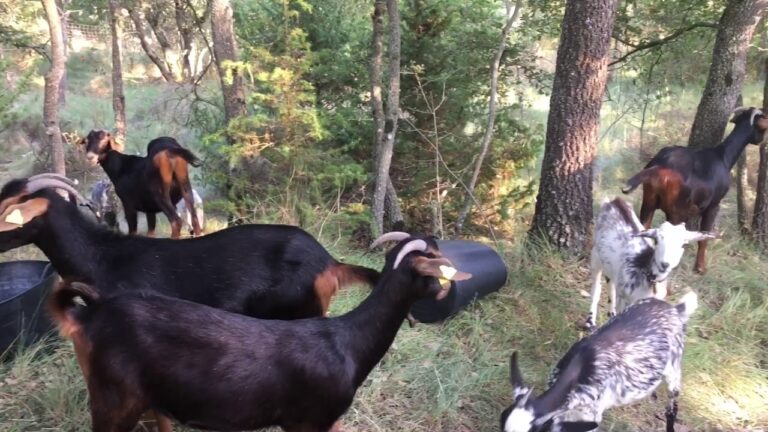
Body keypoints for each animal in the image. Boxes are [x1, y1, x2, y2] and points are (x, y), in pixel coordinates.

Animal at [48, 234, 471, 432]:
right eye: (436, 265)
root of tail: (88, 314)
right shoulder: (310, 421)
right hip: (113, 401)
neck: (348, 343)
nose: (447, 291)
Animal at [585, 197, 714, 330]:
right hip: (595, 255)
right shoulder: (624, 299)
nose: (665, 264)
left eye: (684, 244)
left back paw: (611, 312)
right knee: (596, 288)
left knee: (610, 281)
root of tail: (614, 201)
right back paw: (590, 321)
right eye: (656, 240)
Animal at [622, 107, 768, 273]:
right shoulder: (714, 205)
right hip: (676, 211)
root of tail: (660, 166)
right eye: (761, 126)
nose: (761, 141)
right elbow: (704, 237)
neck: (723, 156)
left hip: (649, 201)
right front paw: (700, 267)